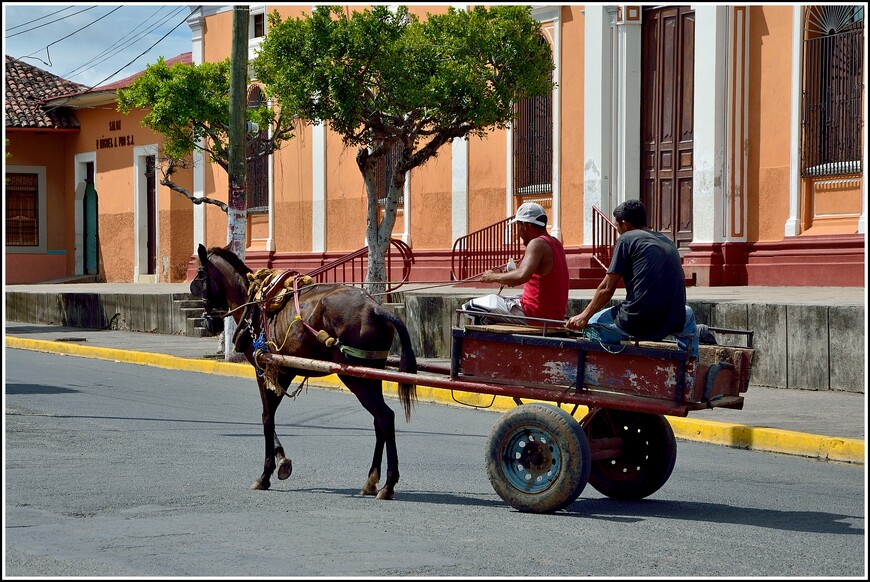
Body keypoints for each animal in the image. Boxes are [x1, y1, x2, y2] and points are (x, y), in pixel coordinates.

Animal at [192, 244, 422, 500]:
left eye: (200, 274)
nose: (209, 323)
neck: (253, 303)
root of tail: (375, 308)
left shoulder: (264, 369)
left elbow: (266, 418)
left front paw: (266, 474)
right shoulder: (284, 371)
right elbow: (270, 415)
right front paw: (282, 462)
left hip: (353, 376)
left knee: (384, 416)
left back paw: (388, 485)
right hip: (371, 373)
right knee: (379, 421)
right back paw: (371, 481)